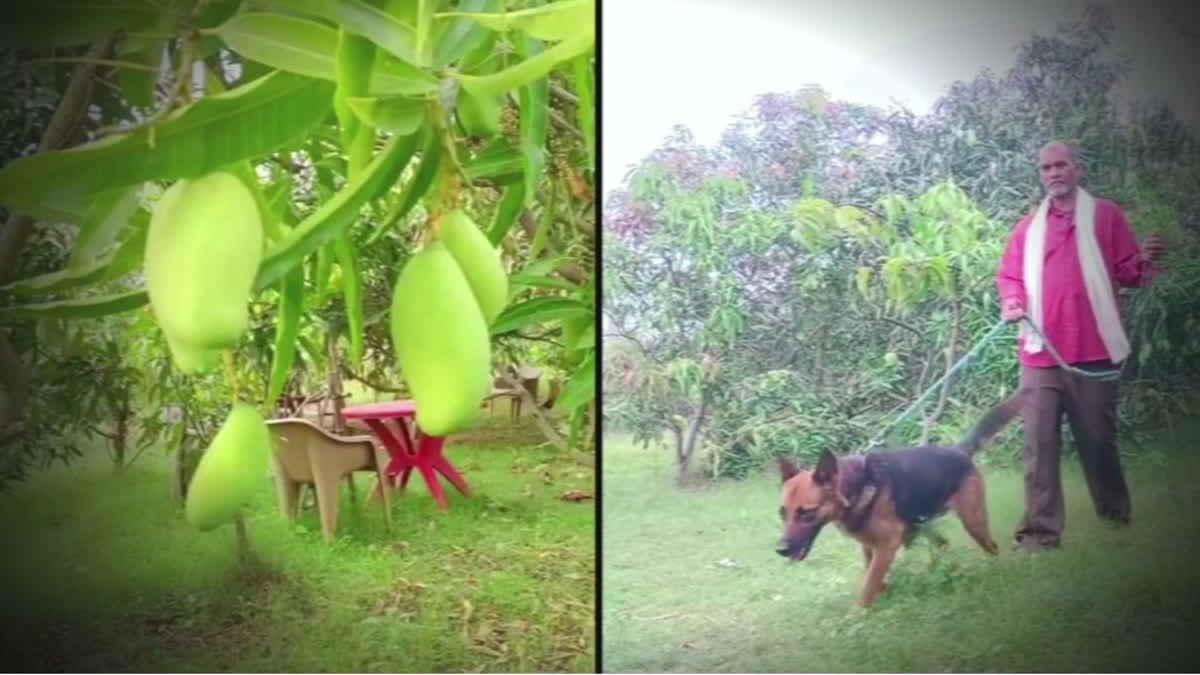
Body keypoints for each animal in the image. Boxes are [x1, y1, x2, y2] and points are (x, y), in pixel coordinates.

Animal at [777, 389, 1022, 605]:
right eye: (782, 513)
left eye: (807, 513)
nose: (781, 550)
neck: (857, 487)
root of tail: (959, 451)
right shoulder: (870, 545)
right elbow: (871, 575)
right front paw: (885, 590)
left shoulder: (886, 547)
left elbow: (867, 588)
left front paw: (859, 615)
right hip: (923, 524)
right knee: (943, 544)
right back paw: (933, 574)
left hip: (974, 523)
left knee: (991, 548)